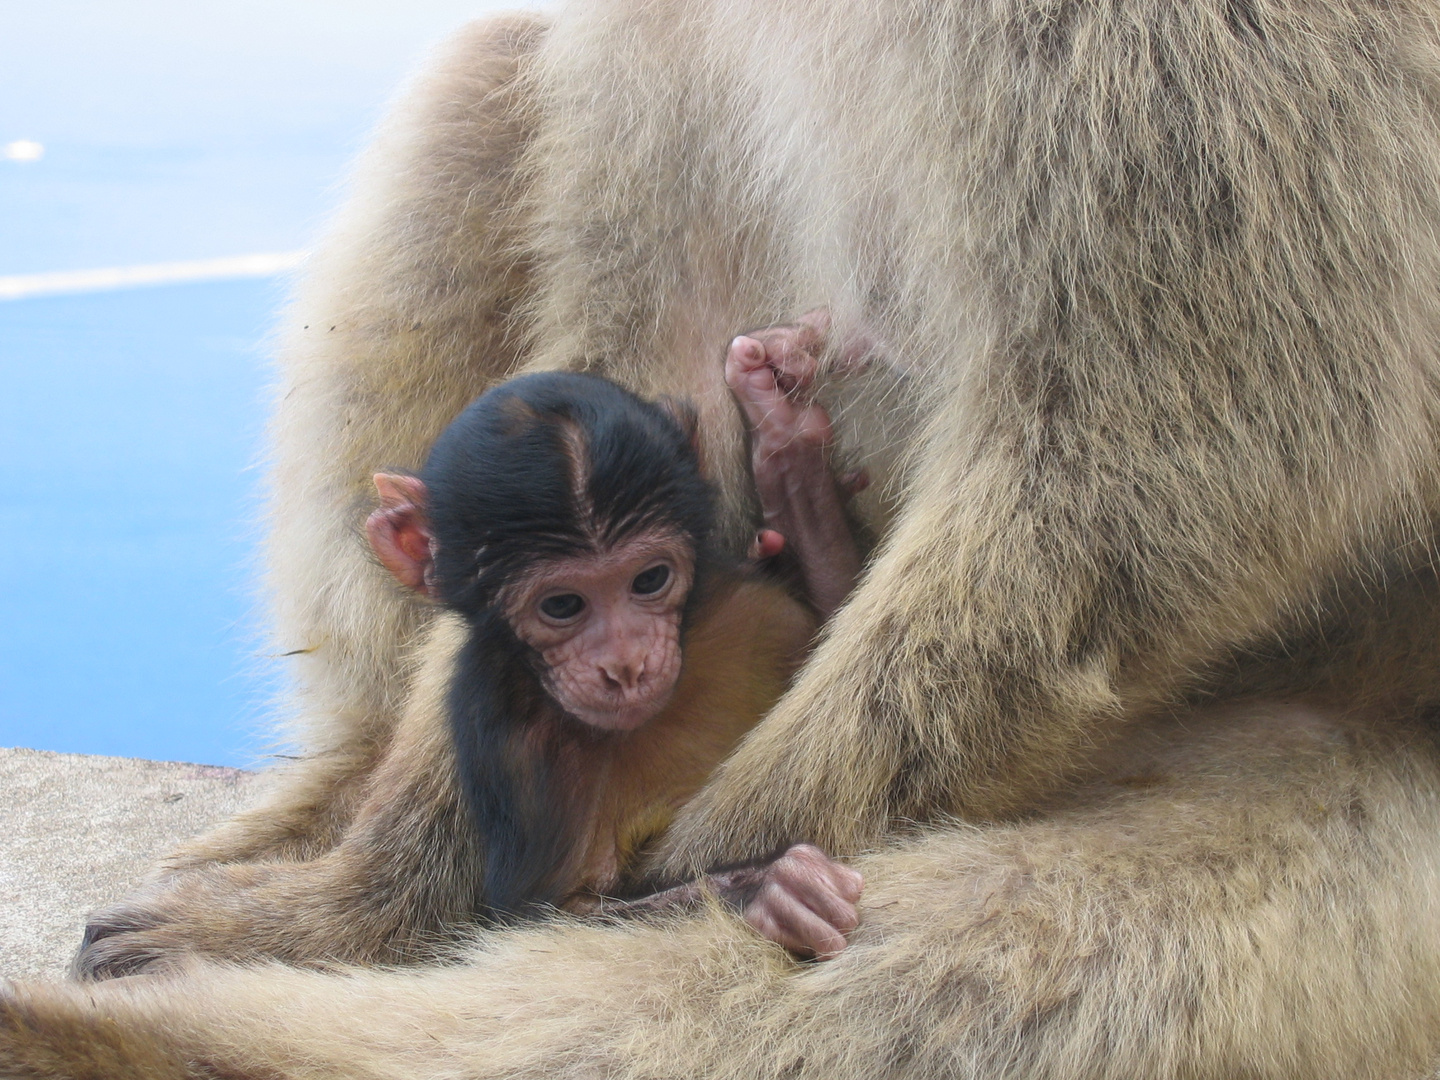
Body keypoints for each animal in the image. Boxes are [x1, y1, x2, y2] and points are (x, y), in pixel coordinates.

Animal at [371, 319, 864, 956]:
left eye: (649, 579)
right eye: (561, 606)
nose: (626, 665)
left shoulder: (751, 609)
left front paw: (785, 441)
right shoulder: (509, 733)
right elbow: (539, 921)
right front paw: (767, 889)